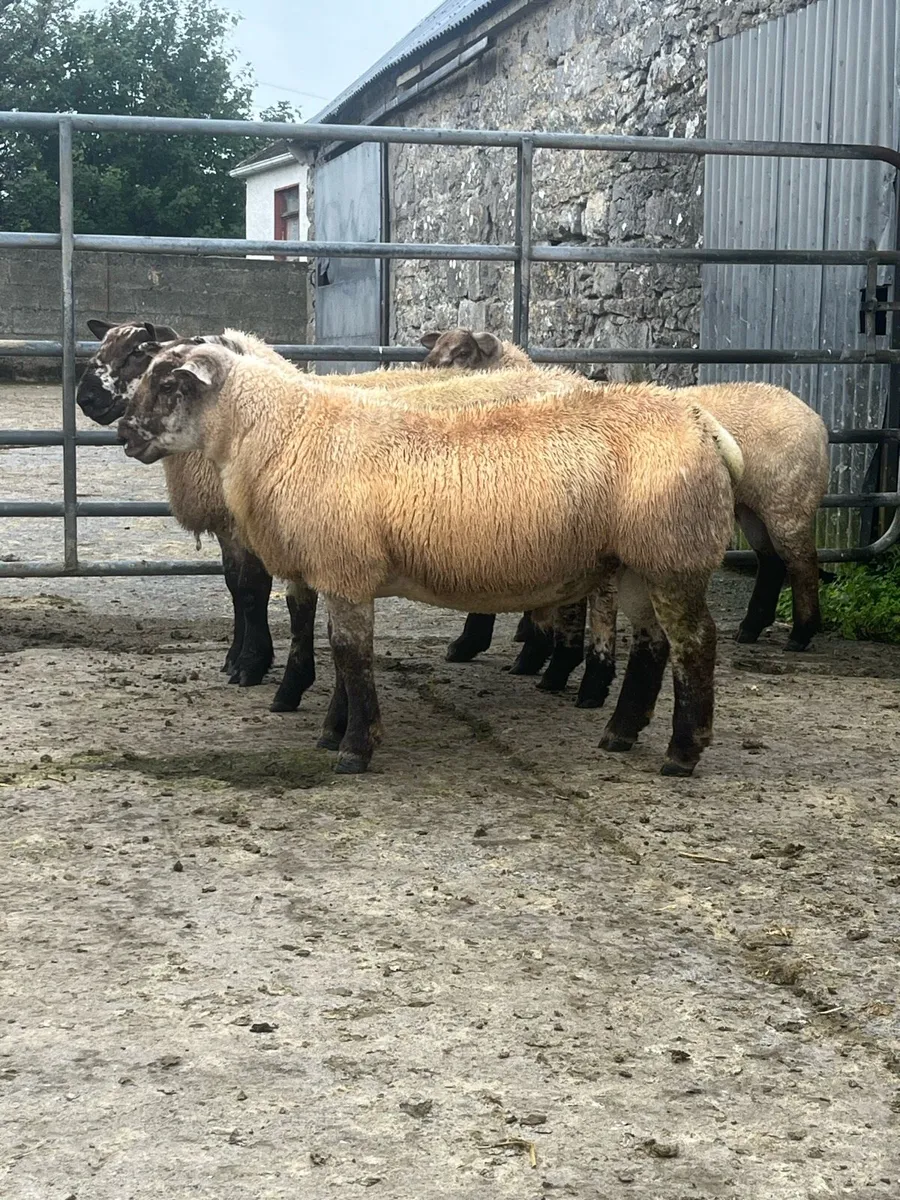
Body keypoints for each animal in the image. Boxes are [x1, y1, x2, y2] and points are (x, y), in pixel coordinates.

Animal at [77, 321, 306, 690]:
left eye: (137, 352)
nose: (86, 399)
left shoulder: (247, 524)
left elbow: (252, 589)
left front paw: (251, 664)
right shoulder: (225, 525)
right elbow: (234, 587)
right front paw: (234, 657)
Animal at [118, 343, 743, 777]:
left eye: (170, 383)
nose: (125, 433)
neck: (278, 431)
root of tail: (698, 420)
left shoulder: (343, 566)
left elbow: (351, 657)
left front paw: (354, 749)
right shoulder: (340, 571)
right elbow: (343, 653)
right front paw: (334, 731)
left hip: (676, 553)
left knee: (695, 643)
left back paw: (682, 753)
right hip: (638, 560)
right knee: (653, 643)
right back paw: (620, 733)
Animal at [427, 331, 830, 689]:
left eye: (462, 353)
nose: (428, 369)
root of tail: (817, 420)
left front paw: (473, 645)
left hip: (788, 500)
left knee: (801, 562)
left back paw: (801, 633)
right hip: (752, 505)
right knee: (771, 562)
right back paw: (751, 628)